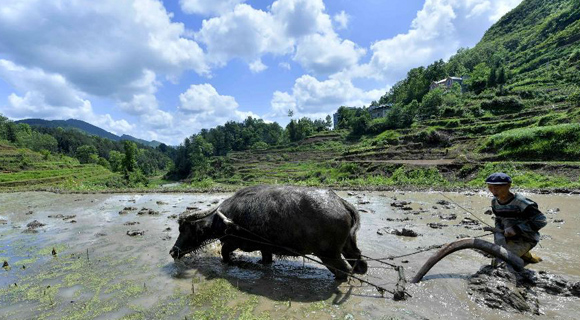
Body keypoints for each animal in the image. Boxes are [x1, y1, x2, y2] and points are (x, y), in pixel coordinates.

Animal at [170, 185, 368, 280]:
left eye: (184, 229)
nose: (173, 251)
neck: (225, 219)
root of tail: (340, 201)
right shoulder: (265, 248)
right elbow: (266, 259)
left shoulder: (233, 242)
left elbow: (225, 253)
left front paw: (231, 262)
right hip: (348, 246)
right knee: (359, 262)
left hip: (329, 254)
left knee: (344, 271)